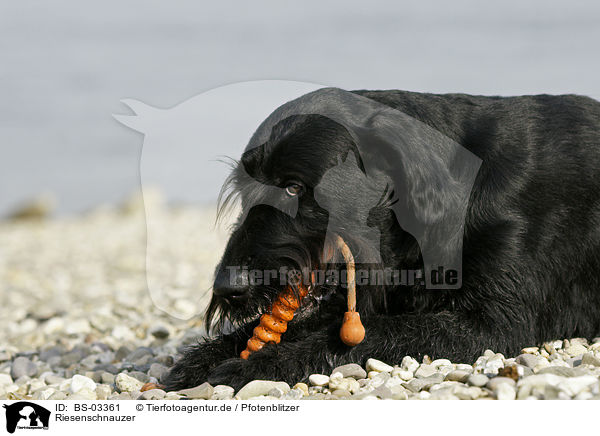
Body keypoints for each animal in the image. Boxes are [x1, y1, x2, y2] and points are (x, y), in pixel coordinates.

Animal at [163, 87, 600, 390]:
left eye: (293, 187)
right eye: (245, 188)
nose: (228, 288)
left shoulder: (493, 324)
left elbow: (377, 333)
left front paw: (256, 365)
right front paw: (205, 356)